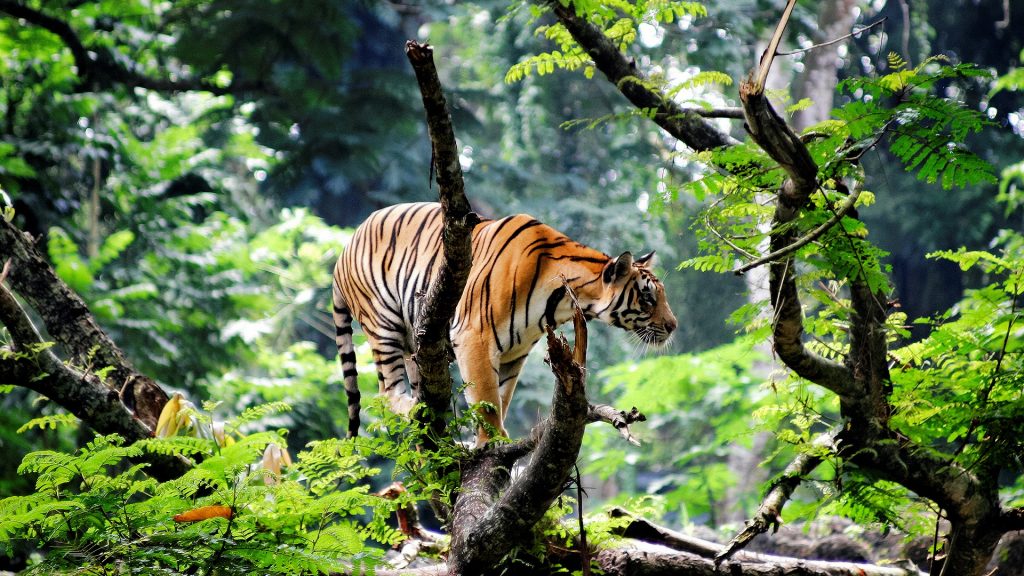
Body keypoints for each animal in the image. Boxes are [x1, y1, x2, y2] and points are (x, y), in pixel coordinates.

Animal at [332, 202, 677, 444]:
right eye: (648, 298)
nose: (673, 326)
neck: (563, 301)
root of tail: (344, 248)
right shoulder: (475, 336)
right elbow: (486, 398)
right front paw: (491, 441)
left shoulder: (515, 352)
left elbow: (502, 396)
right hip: (383, 325)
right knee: (385, 393)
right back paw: (417, 410)